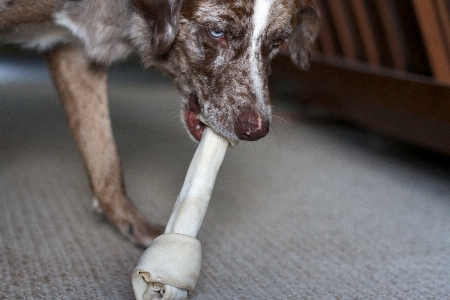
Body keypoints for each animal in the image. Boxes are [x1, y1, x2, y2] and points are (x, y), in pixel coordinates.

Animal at [0, 1, 320, 247]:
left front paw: (130, 223)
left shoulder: (76, 55)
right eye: (217, 31)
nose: (256, 130)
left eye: (277, 42)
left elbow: (105, 159)